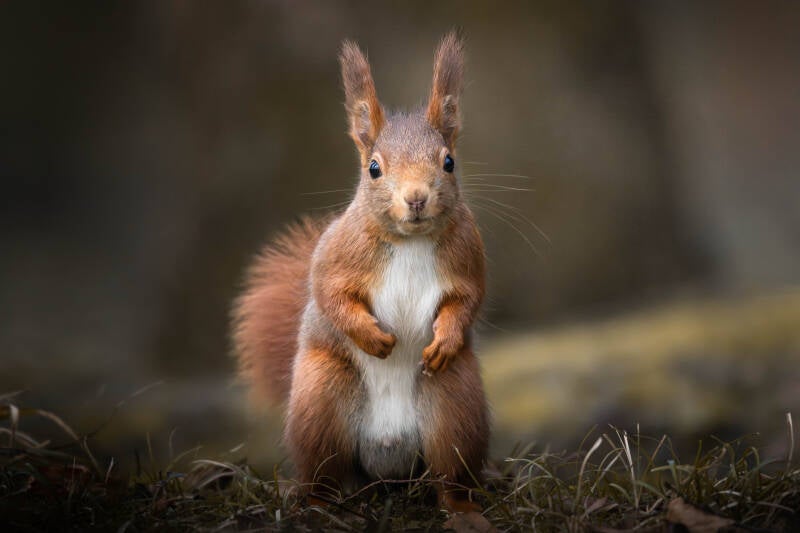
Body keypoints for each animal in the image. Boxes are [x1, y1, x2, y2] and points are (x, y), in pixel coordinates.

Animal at [231, 32, 489, 513]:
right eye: (374, 168)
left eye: (448, 162)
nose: (416, 198)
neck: (410, 242)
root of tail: (387, 460)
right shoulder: (335, 257)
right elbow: (331, 295)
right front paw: (372, 337)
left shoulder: (469, 259)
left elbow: (467, 300)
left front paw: (445, 338)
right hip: (321, 398)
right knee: (324, 472)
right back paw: (316, 502)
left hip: (454, 402)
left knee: (451, 472)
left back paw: (462, 510)